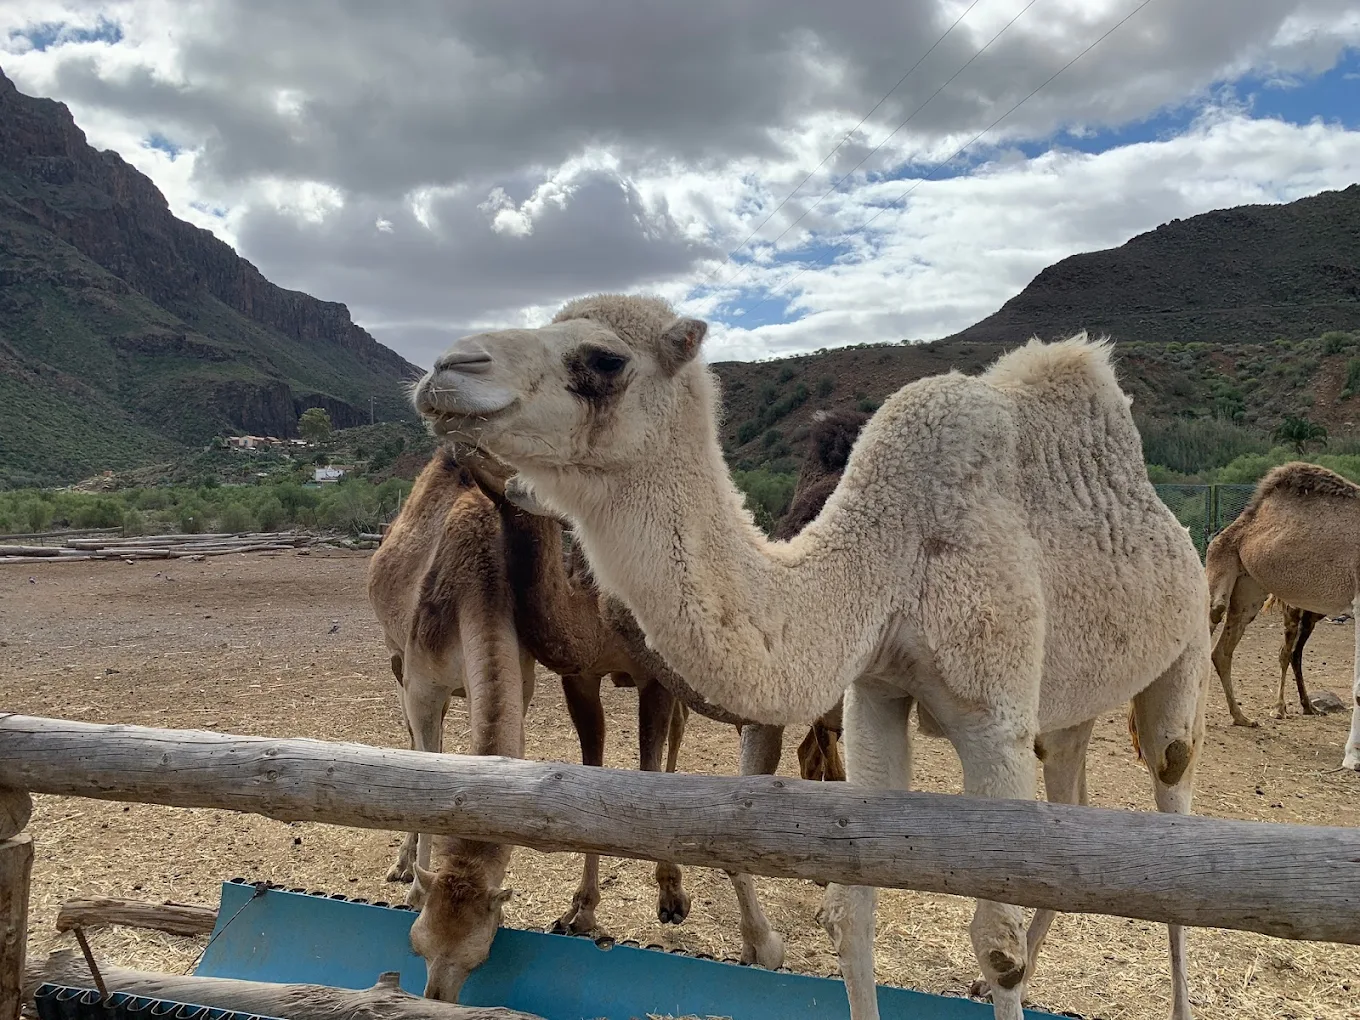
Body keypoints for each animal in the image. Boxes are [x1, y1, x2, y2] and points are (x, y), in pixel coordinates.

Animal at [411, 294, 1211, 1020]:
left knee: (1172, 797)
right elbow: (851, 912)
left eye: (605, 360)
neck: (887, 558)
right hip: (1067, 710)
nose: (447, 370)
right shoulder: (878, 691)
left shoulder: (996, 719)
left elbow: (997, 941)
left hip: (1186, 649)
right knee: (1071, 802)